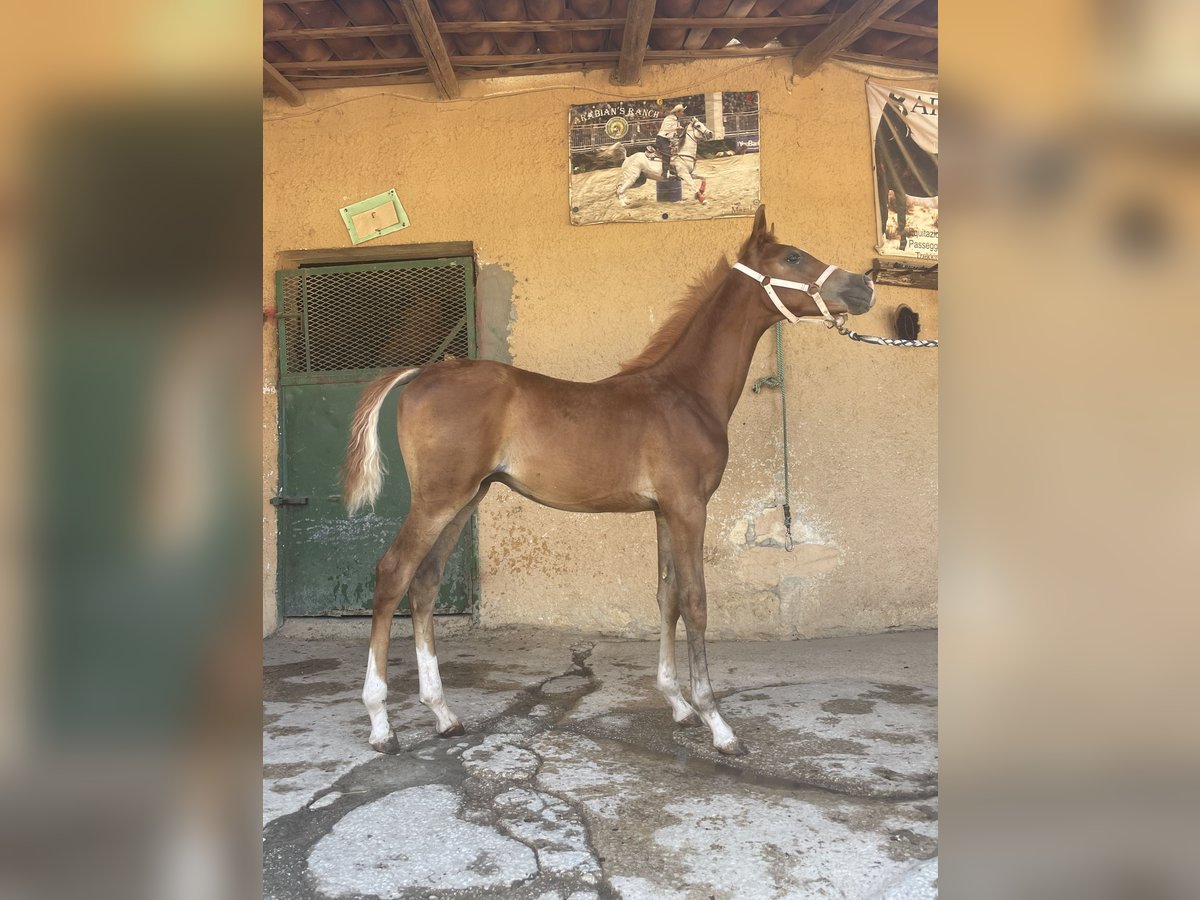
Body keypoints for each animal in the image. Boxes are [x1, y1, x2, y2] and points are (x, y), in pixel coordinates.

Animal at [343, 206, 878, 763]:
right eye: (792, 257)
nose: (865, 286)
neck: (685, 393)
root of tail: (420, 374)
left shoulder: (664, 511)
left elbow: (666, 597)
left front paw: (677, 704)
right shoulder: (689, 508)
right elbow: (696, 601)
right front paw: (717, 723)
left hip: (467, 498)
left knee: (424, 583)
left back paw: (444, 714)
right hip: (438, 499)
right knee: (393, 573)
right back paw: (381, 723)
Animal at [873, 99, 936, 252]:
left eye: (904, 112)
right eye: (890, 109)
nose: (905, 132)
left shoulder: (896, 189)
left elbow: (900, 218)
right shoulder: (884, 187)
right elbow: (886, 214)